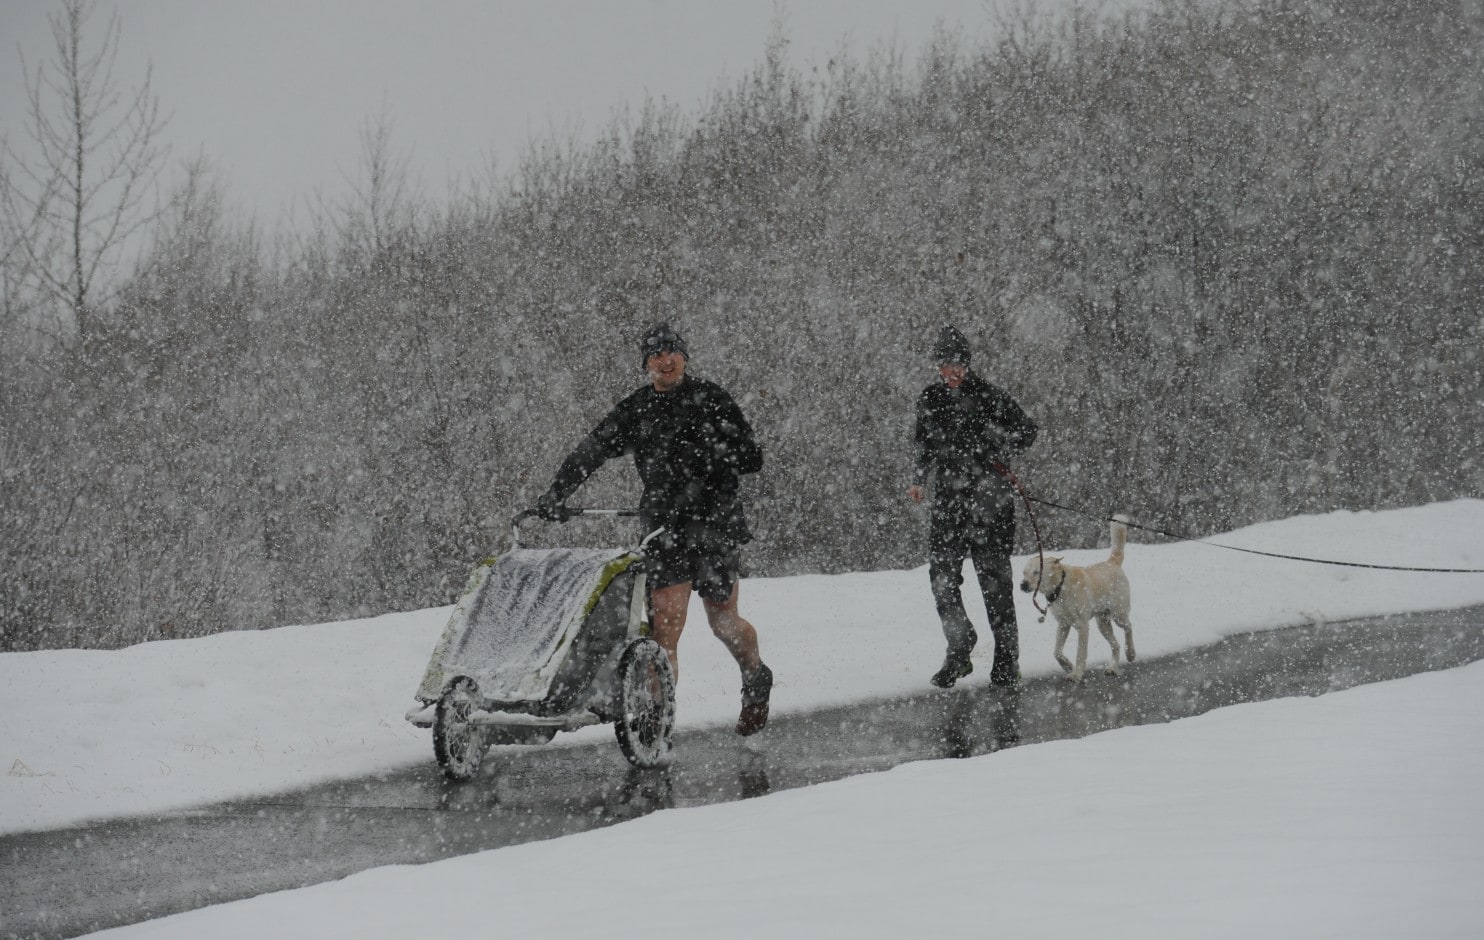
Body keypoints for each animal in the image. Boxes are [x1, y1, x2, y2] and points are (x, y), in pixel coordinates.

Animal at [1020, 516, 1133, 677]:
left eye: (1037, 572)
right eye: (1024, 572)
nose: (1022, 585)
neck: (1060, 587)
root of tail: (1112, 562)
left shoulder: (1082, 626)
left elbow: (1080, 653)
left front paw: (1076, 674)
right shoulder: (1063, 624)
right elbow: (1056, 651)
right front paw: (1067, 665)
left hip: (1119, 614)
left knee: (1128, 627)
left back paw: (1131, 653)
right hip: (1102, 623)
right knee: (1115, 645)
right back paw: (1112, 667)